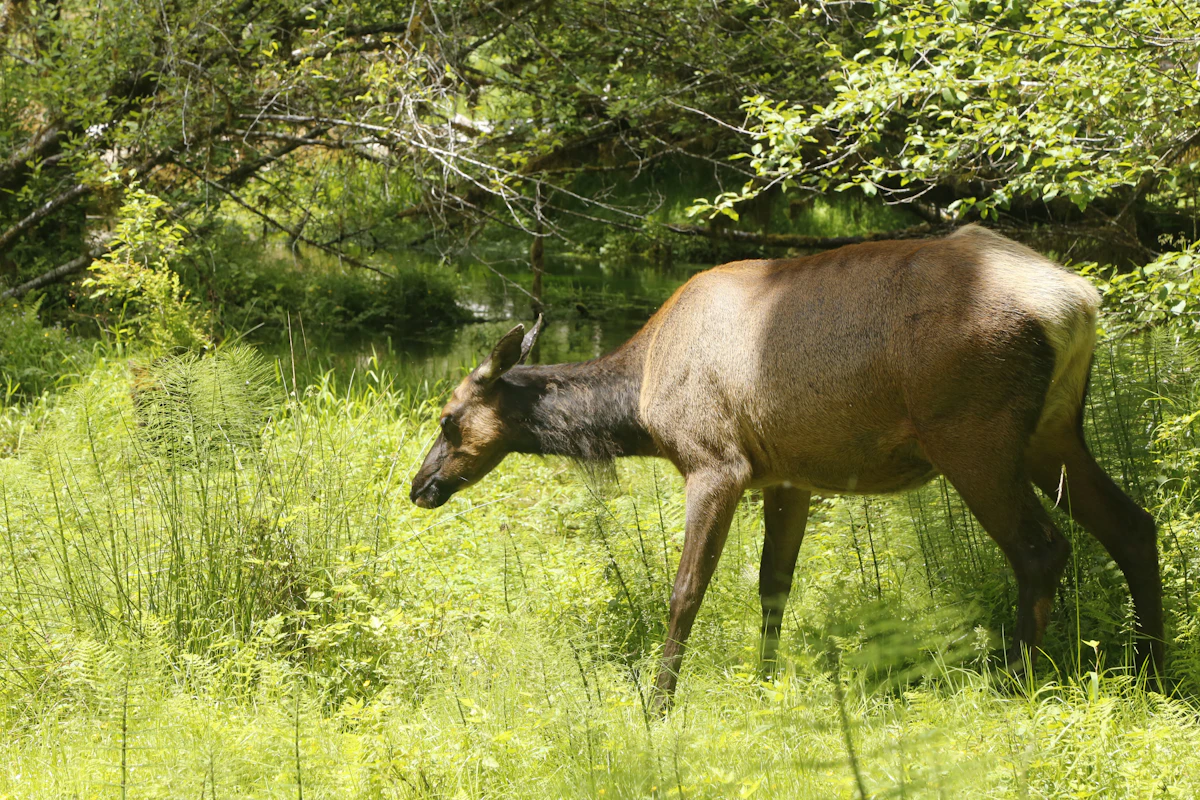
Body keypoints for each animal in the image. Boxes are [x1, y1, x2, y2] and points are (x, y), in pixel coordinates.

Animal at [410, 225, 1164, 709]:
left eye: (447, 419)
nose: (421, 486)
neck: (638, 401)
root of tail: (1079, 302)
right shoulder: (790, 474)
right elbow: (774, 586)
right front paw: (765, 682)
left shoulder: (715, 463)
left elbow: (686, 591)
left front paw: (659, 704)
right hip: (1053, 431)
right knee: (1134, 525)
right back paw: (1152, 672)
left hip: (975, 437)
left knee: (1041, 549)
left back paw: (1015, 686)